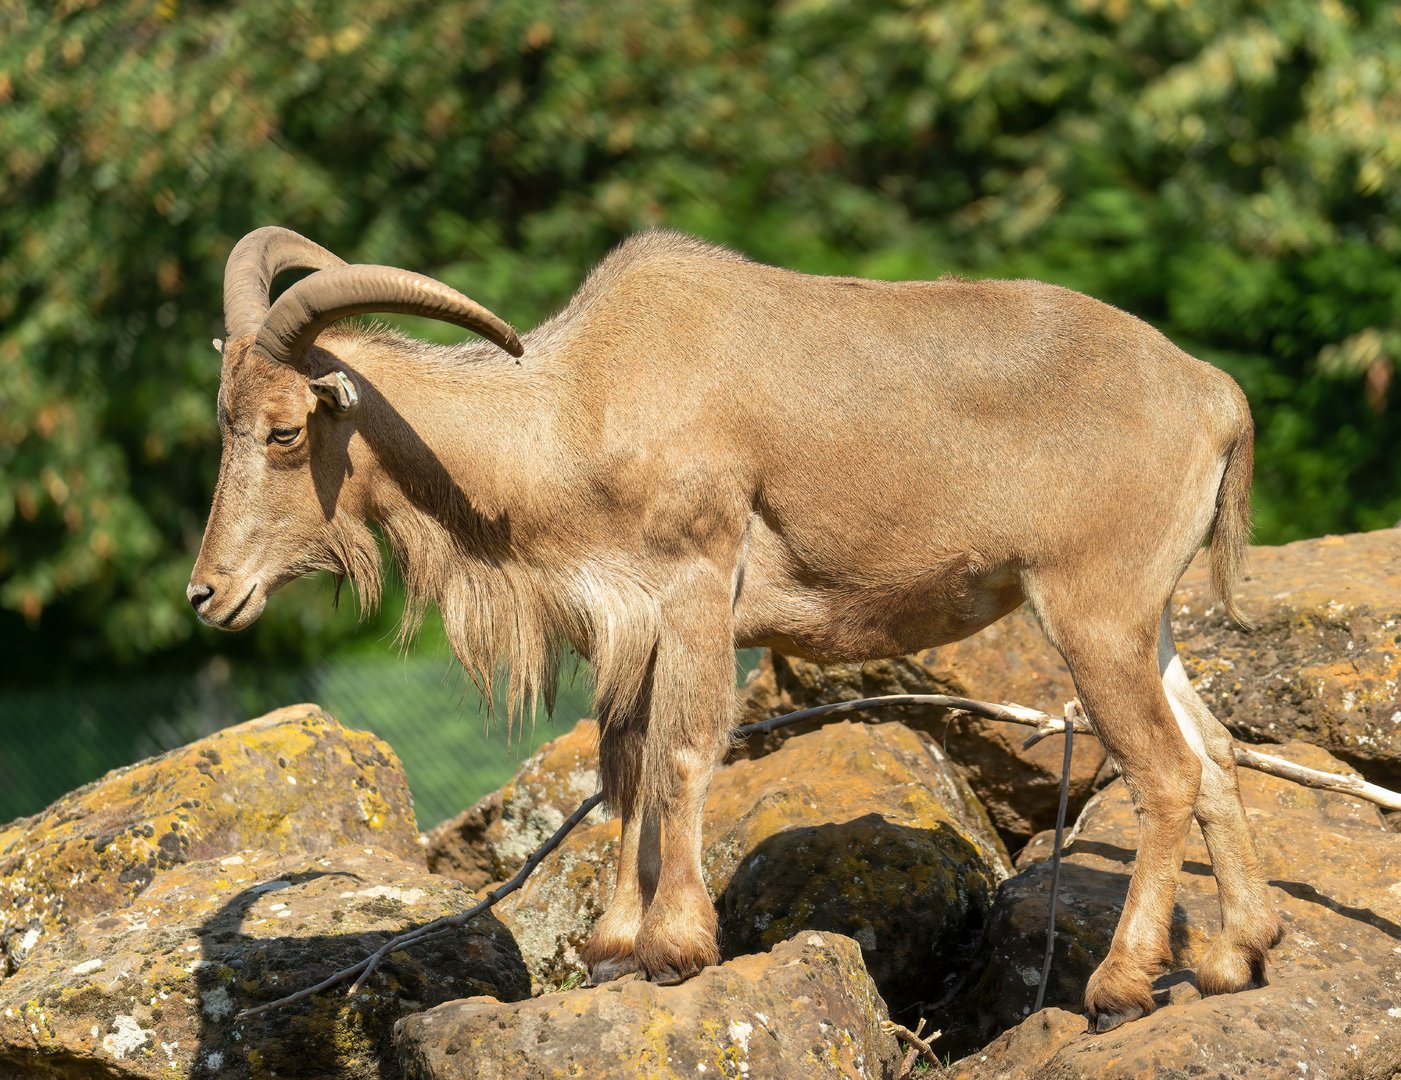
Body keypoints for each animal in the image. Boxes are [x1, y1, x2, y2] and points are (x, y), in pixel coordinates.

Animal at [189, 226, 1279, 1032]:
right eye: (223, 424)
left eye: (284, 430)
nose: (208, 594)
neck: (575, 406)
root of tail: (1214, 394)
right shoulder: (628, 618)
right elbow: (624, 764)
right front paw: (613, 950)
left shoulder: (694, 584)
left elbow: (680, 750)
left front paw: (675, 946)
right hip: (1147, 618)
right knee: (1217, 752)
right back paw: (1236, 955)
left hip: (1092, 610)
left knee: (1165, 769)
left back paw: (1122, 985)